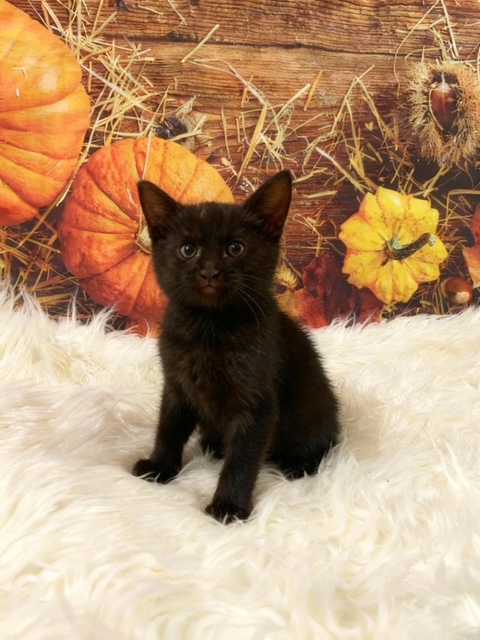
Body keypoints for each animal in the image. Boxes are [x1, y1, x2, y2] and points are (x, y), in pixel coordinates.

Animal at [132, 170, 340, 523]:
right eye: (187, 249)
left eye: (235, 247)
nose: (209, 272)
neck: (209, 329)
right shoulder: (177, 385)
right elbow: (168, 427)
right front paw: (159, 466)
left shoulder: (257, 405)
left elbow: (242, 458)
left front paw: (229, 507)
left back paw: (299, 465)